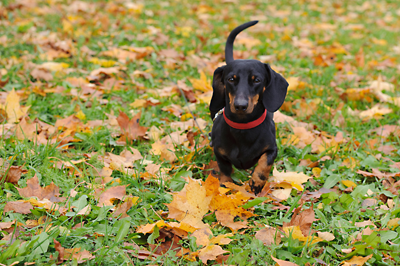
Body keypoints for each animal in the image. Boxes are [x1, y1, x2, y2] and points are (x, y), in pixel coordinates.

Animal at [209, 20, 288, 194]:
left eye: (257, 80)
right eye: (231, 79)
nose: (240, 105)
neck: (242, 127)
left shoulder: (272, 148)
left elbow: (265, 162)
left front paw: (257, 181)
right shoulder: (219, 152)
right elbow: (225, 170)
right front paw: (225, 185)